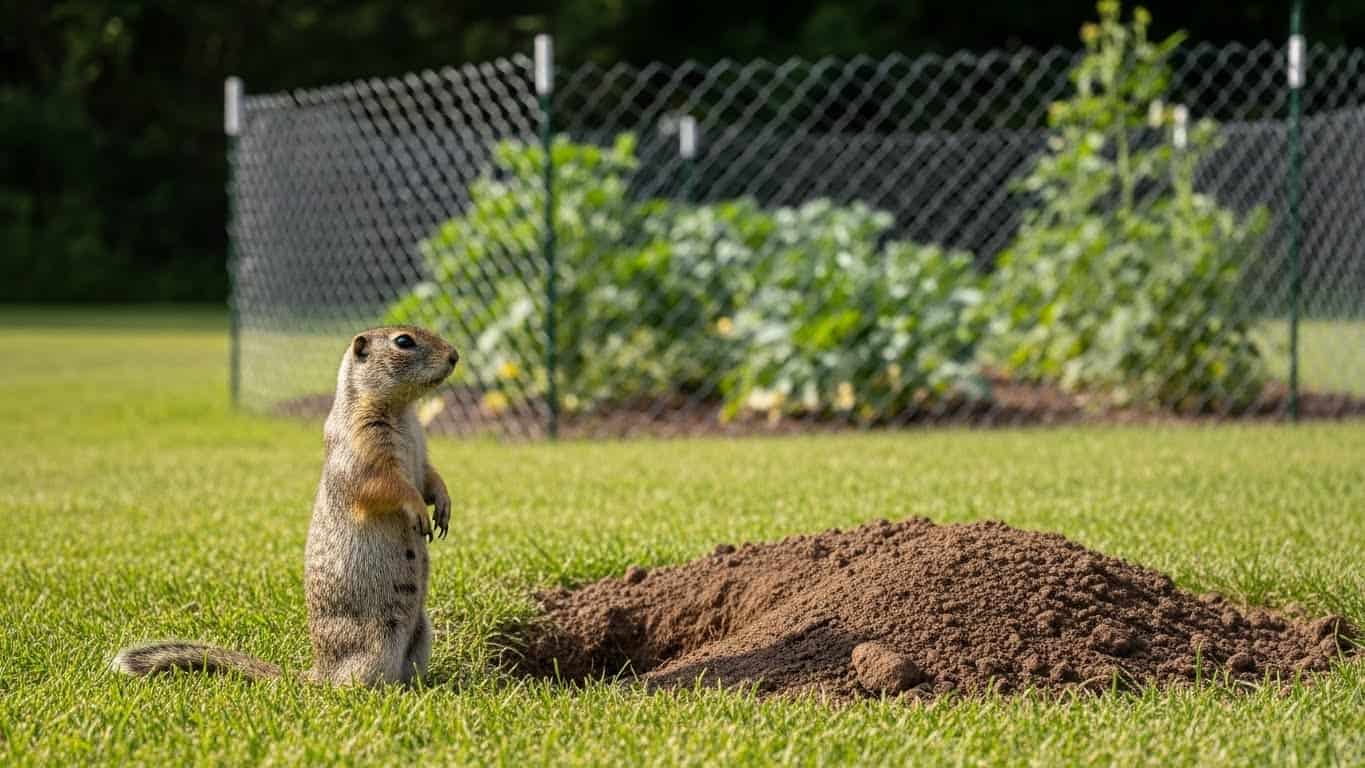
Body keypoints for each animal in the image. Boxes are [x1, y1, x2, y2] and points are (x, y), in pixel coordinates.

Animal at [112, 326, 459, 686]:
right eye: (403, 341)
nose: (455, 355)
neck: (402, 412)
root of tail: (319, 671)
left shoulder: (421, 453)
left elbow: (430, 477)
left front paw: (443, 505)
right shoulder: (363, 450)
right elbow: (387, 486)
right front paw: (418, 510)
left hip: (422, 631)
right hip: (379, 642)